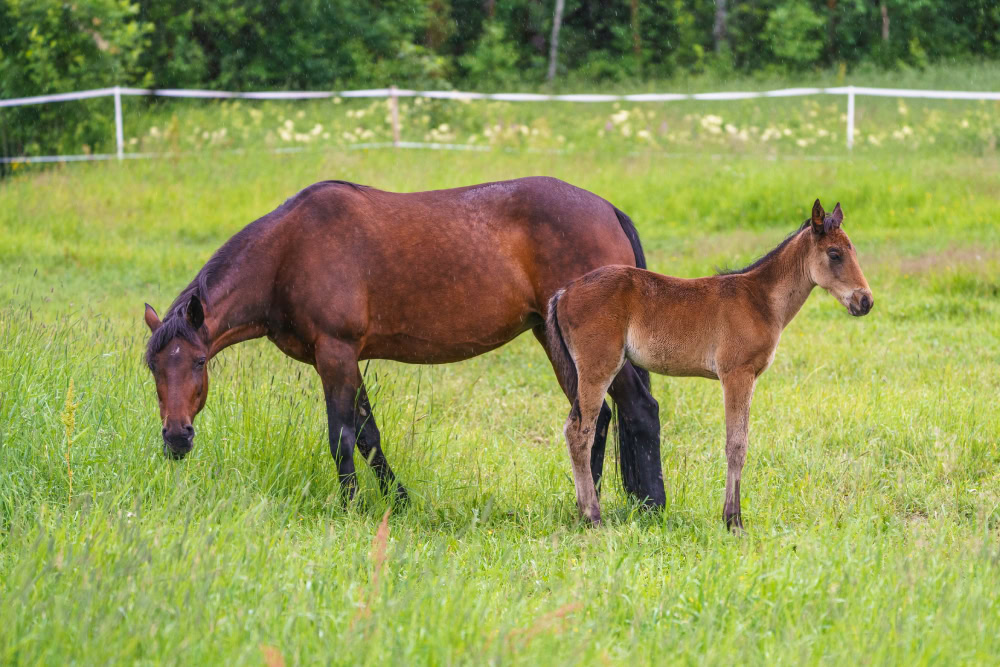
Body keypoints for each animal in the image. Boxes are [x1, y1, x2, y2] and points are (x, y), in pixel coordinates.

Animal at [143, 177, 665, 508]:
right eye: (153, 367)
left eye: (198, 362)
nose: (176, 438)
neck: (288, 252)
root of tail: (608, 210)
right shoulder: (343, 360)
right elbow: (369, 434)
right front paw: (399, 501)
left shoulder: (335, 353)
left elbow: (342, 435)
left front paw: (351, 506)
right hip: (555, 340)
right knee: (595, 419)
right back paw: (590, 501)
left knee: (637, 410)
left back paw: (649, 506)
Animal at [545, 199, 873, 529]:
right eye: (834, 254)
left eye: (855, 251)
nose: (865, 301)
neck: (759, 300)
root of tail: (563, 292)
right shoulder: (737, 374)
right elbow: (737, 445)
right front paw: (733, 521)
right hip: (598, 368)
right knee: (580, 432)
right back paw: (593, 517)